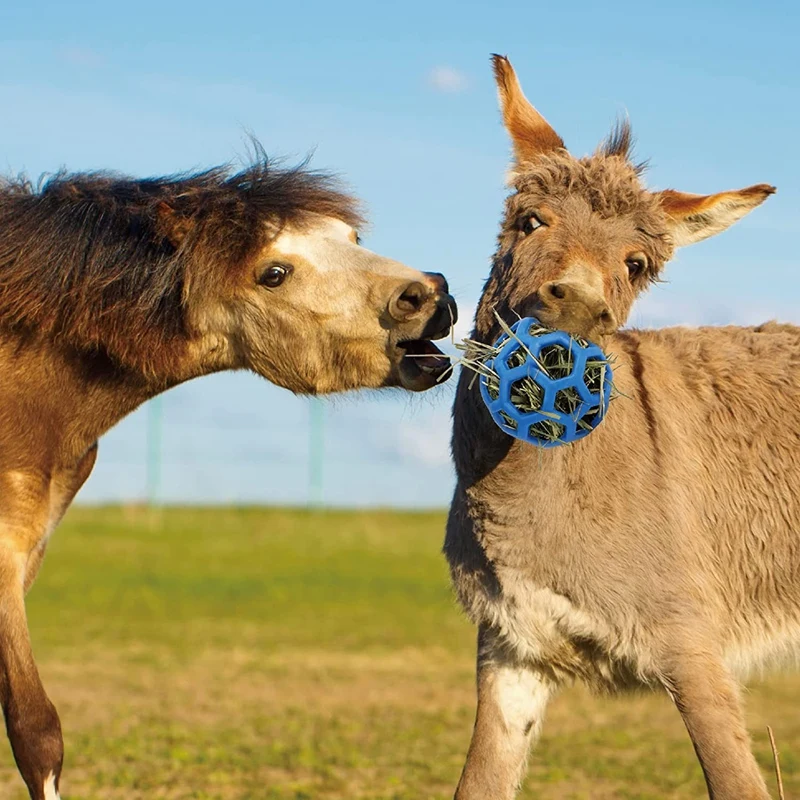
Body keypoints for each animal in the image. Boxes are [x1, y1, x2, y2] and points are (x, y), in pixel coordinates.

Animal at [446, 56, 784, 800]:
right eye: (530, 221)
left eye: (637, 265)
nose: (579, 308)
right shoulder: (512, 649)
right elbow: (480, 782)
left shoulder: (693, 649)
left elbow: (736, 781)